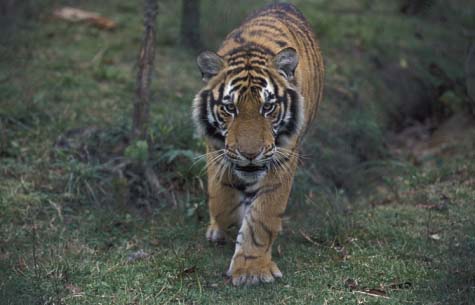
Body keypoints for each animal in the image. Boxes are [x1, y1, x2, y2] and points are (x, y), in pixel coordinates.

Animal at [192, 2, 324, 284]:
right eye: (230, 108)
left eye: (268, 107)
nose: (250, 154)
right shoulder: (215, 149)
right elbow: (221, 197)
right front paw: (225, 224)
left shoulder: (282, 159)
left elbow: (262, 217)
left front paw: (251, 270)